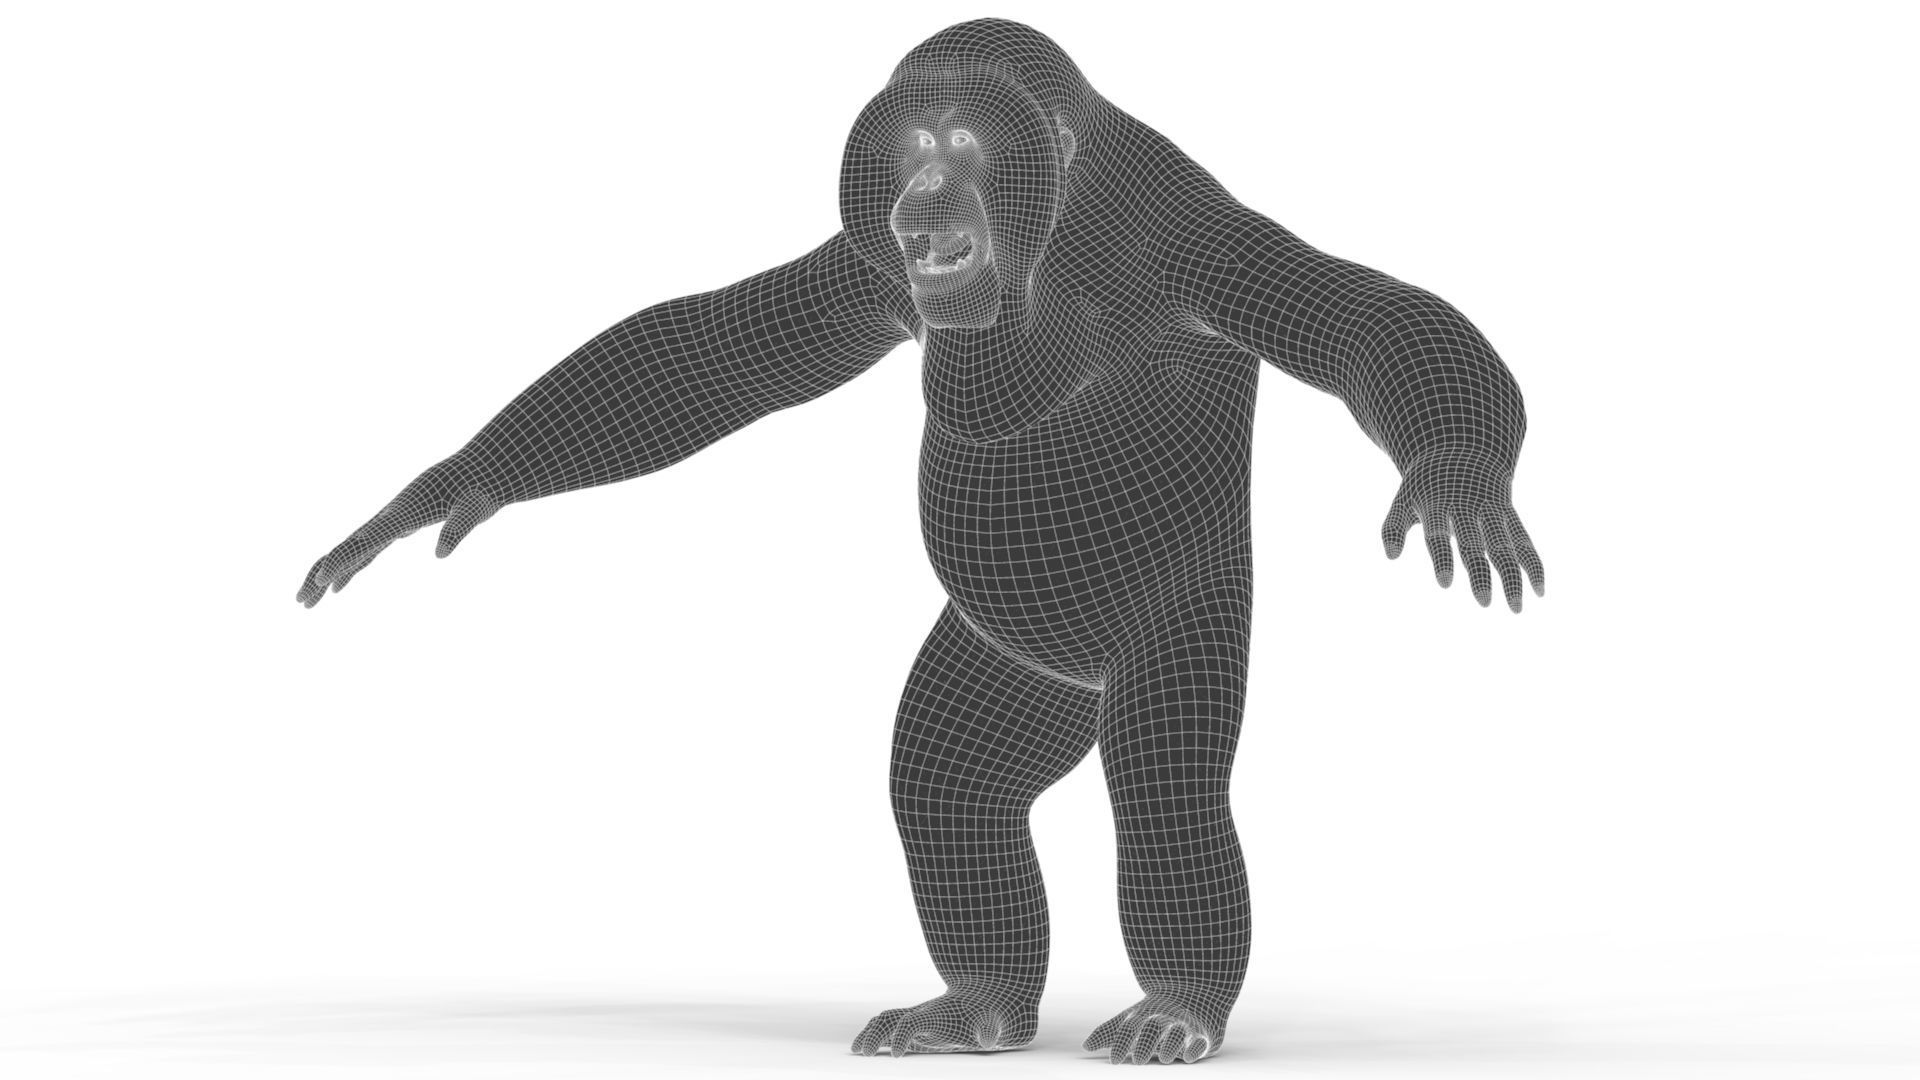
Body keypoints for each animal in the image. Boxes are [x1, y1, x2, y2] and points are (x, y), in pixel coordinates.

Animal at [297, 18, 1545, 1065]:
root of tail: (1076, 682)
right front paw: (445, 487)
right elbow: (712, 355)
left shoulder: (1179, 245)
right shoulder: (872, 271)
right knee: (948, 783)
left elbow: (1361, 315)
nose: (924, 190)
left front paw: (1457, 475)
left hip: (1174, 632)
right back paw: (979, 1001)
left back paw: (1177, 1004)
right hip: (1008, 663)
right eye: (902, 150)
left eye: (960, 144)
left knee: (1166, 794)